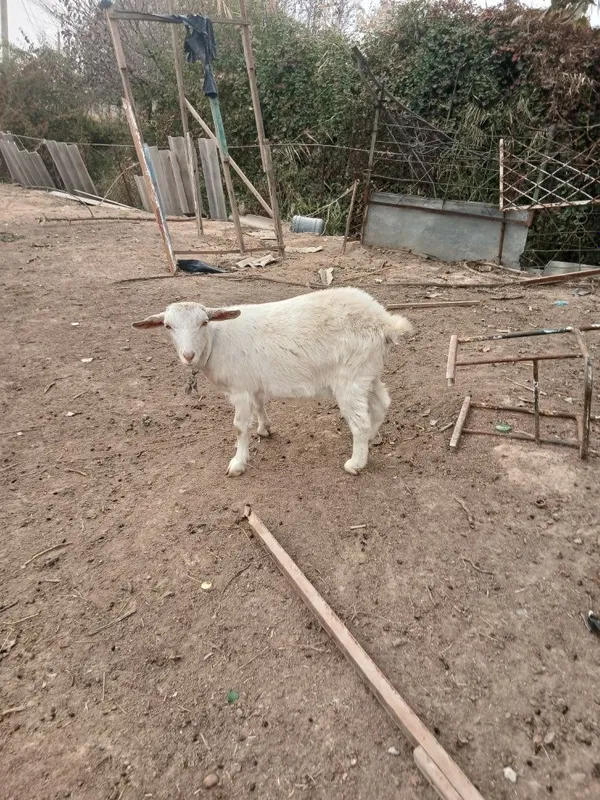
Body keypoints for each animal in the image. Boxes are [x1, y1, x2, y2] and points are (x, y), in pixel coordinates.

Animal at [133, 287, 412, 476]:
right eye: (167, 326)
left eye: (204, 322)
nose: (188, 355)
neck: (215, 341)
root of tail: (385, 322)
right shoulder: (253, 384)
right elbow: (260, 405)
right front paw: (264, 429)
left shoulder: (239, 388)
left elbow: (239, 427)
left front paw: (237, 463)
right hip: (368, 372)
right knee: (381, 404)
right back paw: (368, 442)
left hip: (350, 379)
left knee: (361, 421)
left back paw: (355, 463)